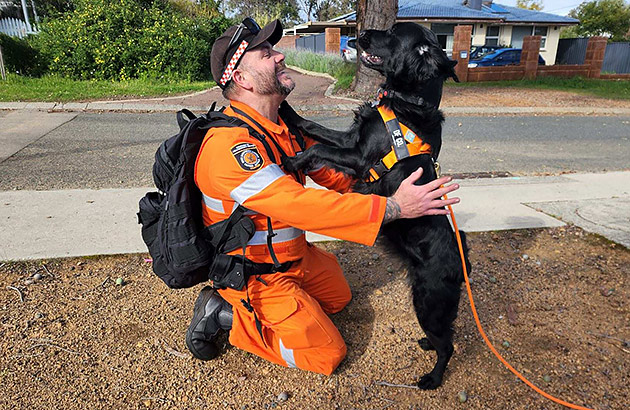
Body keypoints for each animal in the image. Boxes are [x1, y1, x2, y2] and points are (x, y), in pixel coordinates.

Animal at [280, 23, 470, 390]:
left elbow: (315, 150)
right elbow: (313, 127)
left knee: (449, 345)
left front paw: (292, 160)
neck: (404, 103)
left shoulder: (358, 156)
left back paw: (432, 378)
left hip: (428, 301)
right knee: (446, 336)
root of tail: (461, 264)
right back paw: (427, 346)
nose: (361, 33)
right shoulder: (350, 139)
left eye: (393, 32)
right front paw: (284, 109)